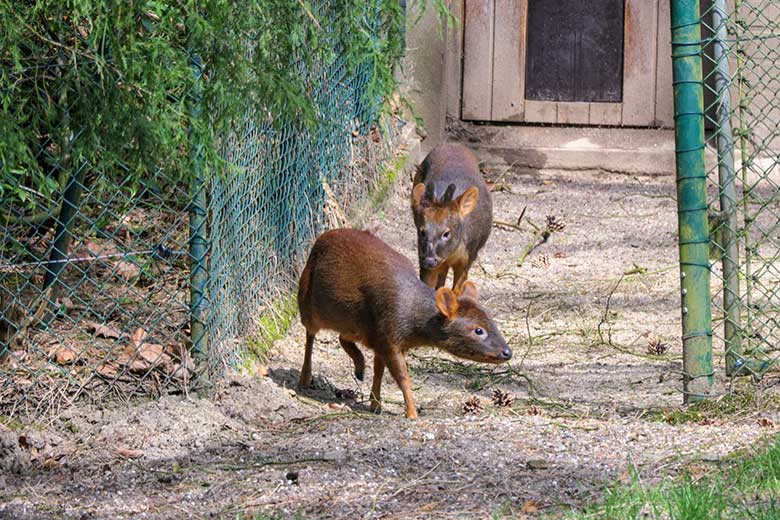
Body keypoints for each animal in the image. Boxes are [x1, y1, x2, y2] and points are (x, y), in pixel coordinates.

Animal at [298, 228, 512, 418]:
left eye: (492, 322)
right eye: (478, 330)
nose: (507, 352)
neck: (413, 318)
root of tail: (319, 239)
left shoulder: (381, 339)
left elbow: (379, 372)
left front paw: (376, 405)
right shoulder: (389, 338)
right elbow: (403, 378)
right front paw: (412, 413)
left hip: (356, 324)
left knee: (343, 337)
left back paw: (359, 369)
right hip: (308, 303)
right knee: (310, 336)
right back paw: (305, 378)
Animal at [412, 144, 490, 290]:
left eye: (446, 233)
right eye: (422, 231)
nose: (429, 260)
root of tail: (454, 145)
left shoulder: (467, 258)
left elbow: (456, 290)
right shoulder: (423, 255)